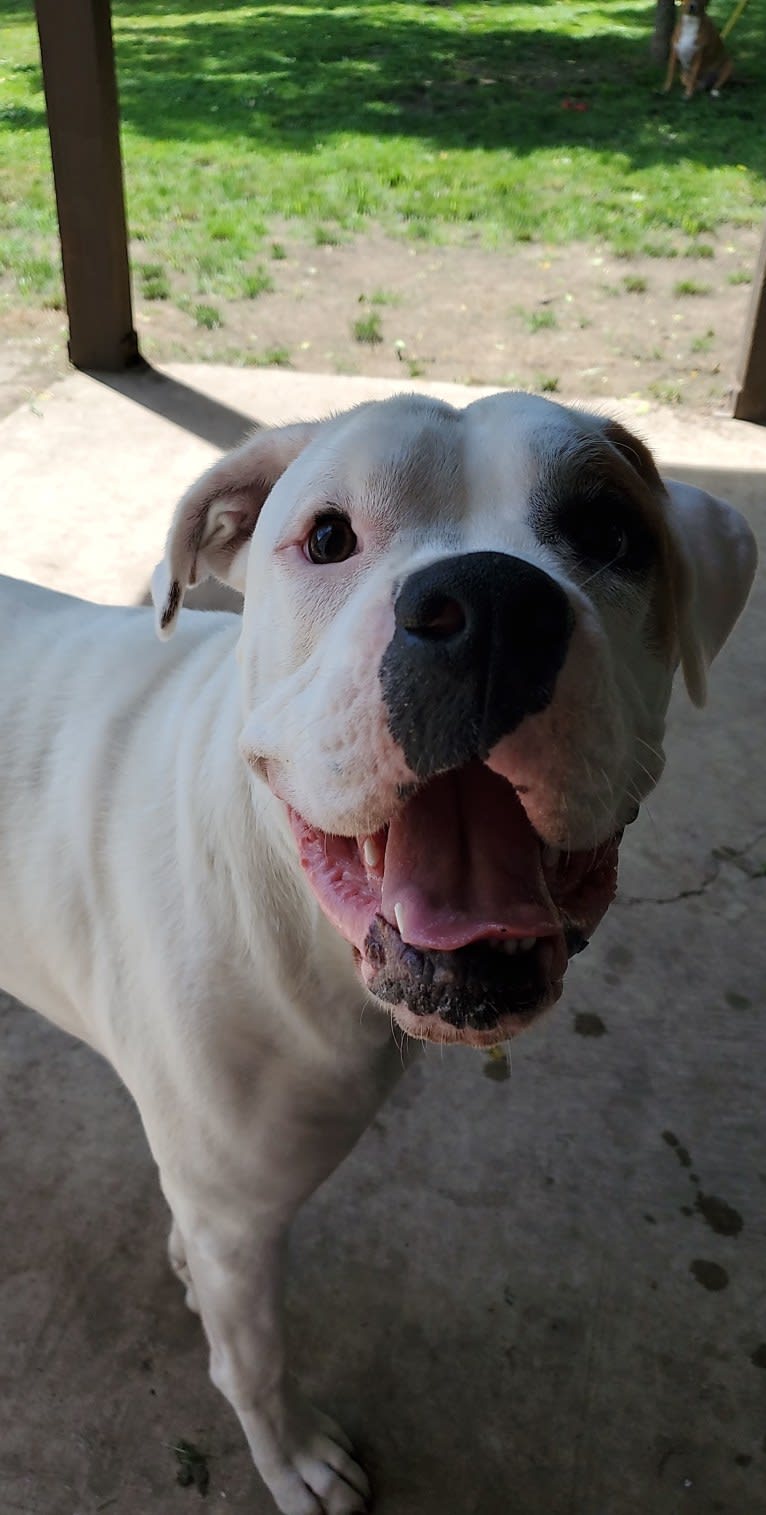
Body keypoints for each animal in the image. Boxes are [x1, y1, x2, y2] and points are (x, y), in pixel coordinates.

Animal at [0, 393, 753, 1515]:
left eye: (609, 531)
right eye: (326, 538)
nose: (490, 607)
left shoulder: (217, 1201)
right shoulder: (241, 1214)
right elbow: (253, 1360)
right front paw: (293, 1459)